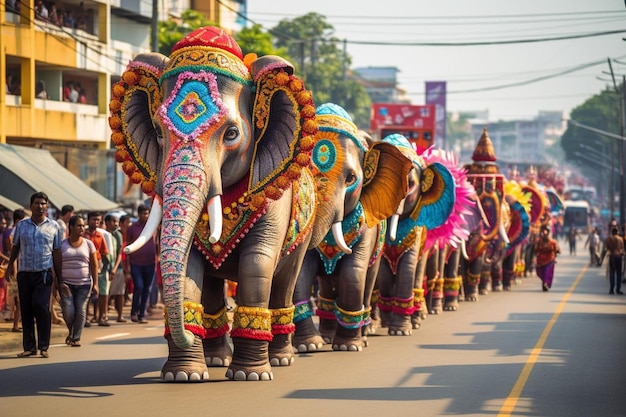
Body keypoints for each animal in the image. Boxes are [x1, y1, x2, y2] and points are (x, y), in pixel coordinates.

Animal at [108, 27, 332, 382]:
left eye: (231, 134)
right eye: (157, 131)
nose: (183, 335)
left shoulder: (275, 202)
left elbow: (258, 262)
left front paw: (250, 376)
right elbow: (190, 267)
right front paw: (183, 376)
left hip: (303, 234)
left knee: (286, 282)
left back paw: (282, 358)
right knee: (213, 287)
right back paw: (215, 359)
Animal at [290, 104, 412, 352]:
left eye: (351, 178)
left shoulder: (367, 231)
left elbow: (353, 273)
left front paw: (348, 347)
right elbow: (302, 272)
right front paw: (309, 346)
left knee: (367, 282)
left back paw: (363, 337)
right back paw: (327, 337)